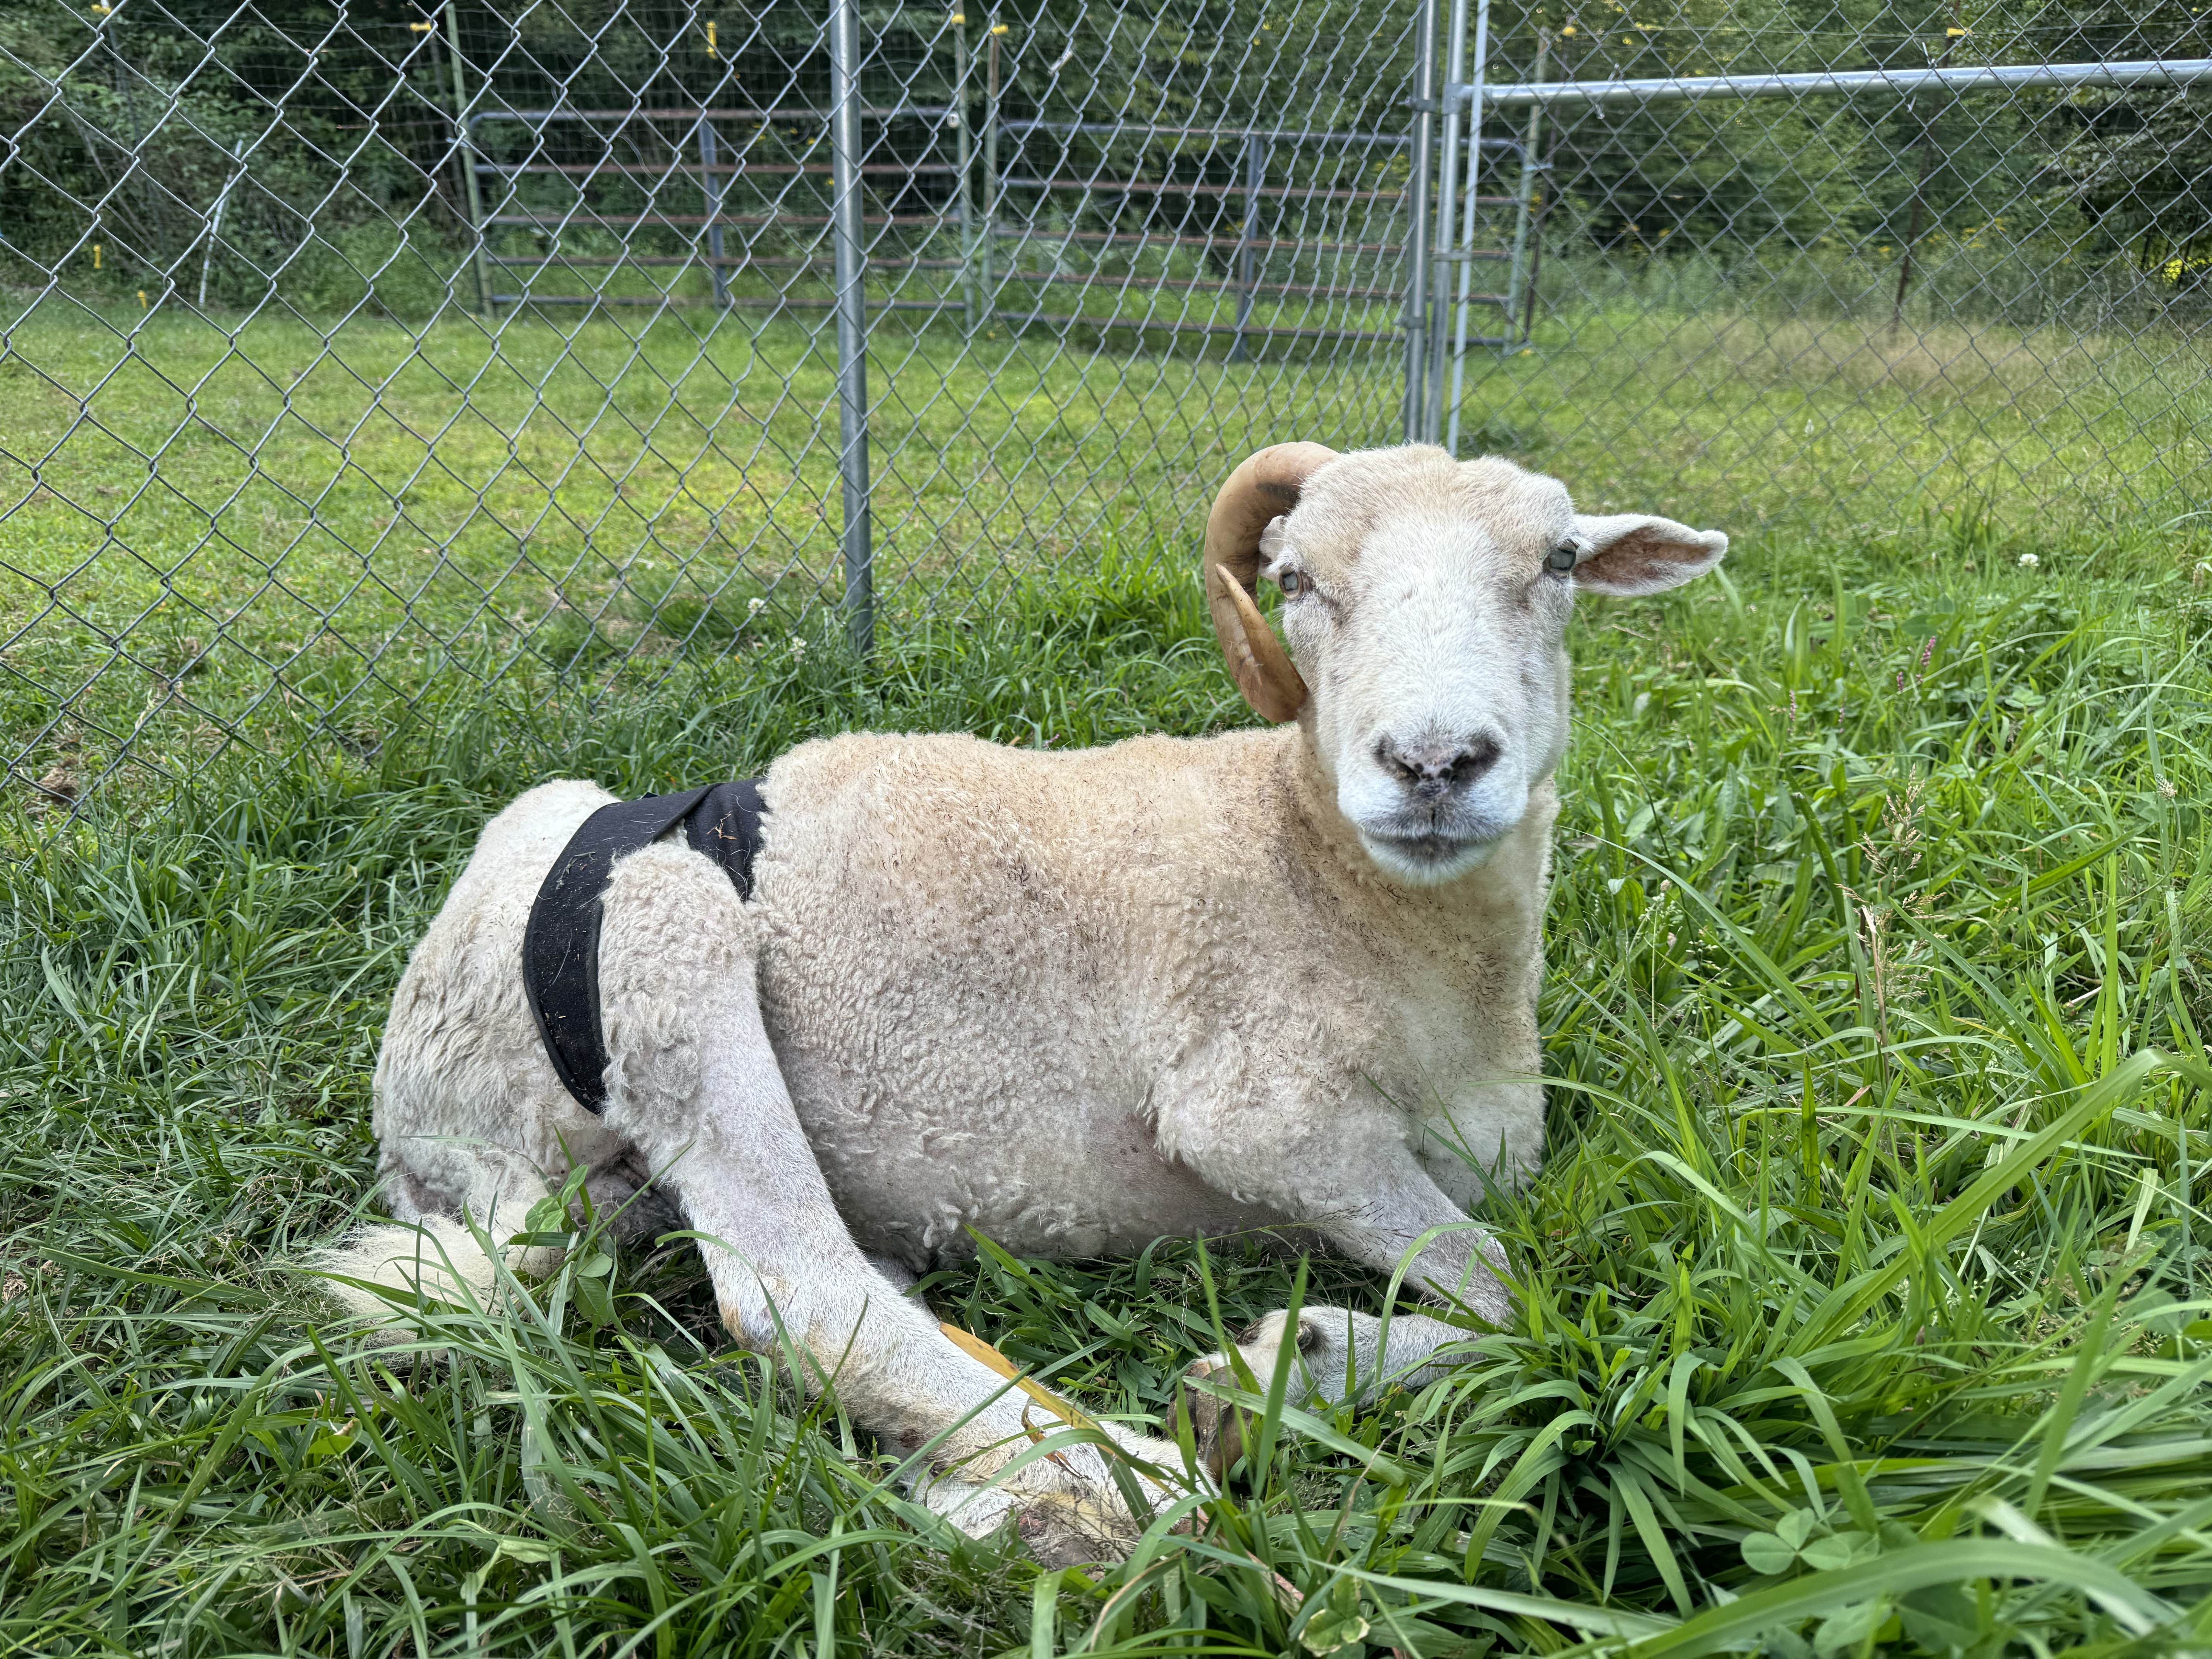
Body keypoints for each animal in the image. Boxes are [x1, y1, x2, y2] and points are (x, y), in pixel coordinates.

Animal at [322, 441, 1727, 1563]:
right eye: (1296, 581)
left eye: (1556, 562)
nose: (1436, 764)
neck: (1328, 880)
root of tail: (423, 1129)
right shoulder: (1259, 1114)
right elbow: (1518, 1290)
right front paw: (1292, 1365)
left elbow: (1528, 1293)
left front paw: (1304, 1365)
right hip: (667, 921)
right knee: (796, 1291)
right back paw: (1117, 1479)